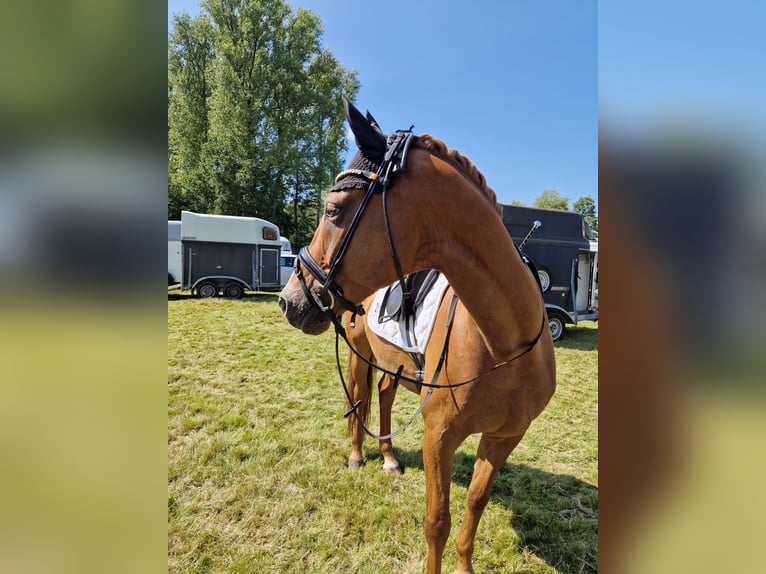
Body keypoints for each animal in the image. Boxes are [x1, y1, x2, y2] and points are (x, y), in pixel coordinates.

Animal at [280, 100, 556, 574]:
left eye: (333, 210)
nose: (289, 299)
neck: (506, 342)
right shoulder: (439, 435)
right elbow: (436, 521)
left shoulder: (505, 437)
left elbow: (475, 504)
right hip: (359, 356)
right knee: (359, 399)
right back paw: (358, 455)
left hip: (393, 365)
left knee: (384, 396)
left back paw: (390, 458)